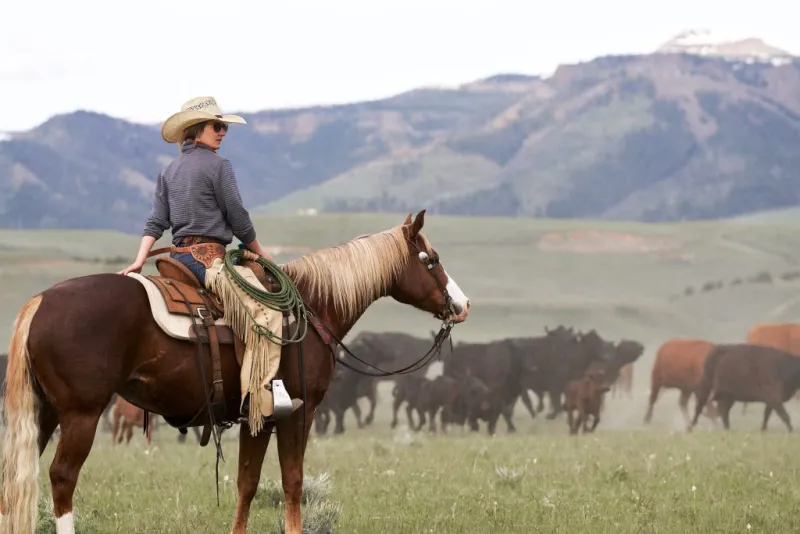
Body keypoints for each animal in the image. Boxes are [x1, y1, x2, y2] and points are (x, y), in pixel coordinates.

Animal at [0, 210, 471, 534]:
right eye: (431, 259)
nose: (462, 305)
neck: (313, 307)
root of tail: (40, 301)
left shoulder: (256, 418)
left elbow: (247, 482)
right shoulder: (299, 413)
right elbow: (293, 481)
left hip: (45, 414)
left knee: (18, 476)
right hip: (81, 414)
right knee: (62, 478)